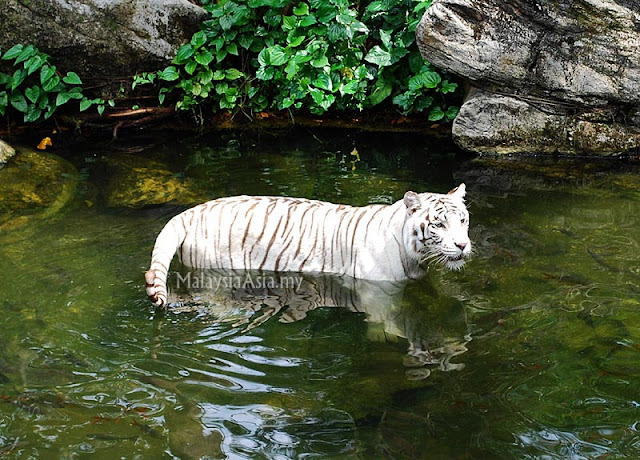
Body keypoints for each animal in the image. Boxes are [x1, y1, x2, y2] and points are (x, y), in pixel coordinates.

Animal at [148, 183, 472, 306]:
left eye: (463, 220)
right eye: (440, 225)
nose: (462, 245)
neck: (415, 256)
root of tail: (192, 211)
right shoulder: (378, 291)